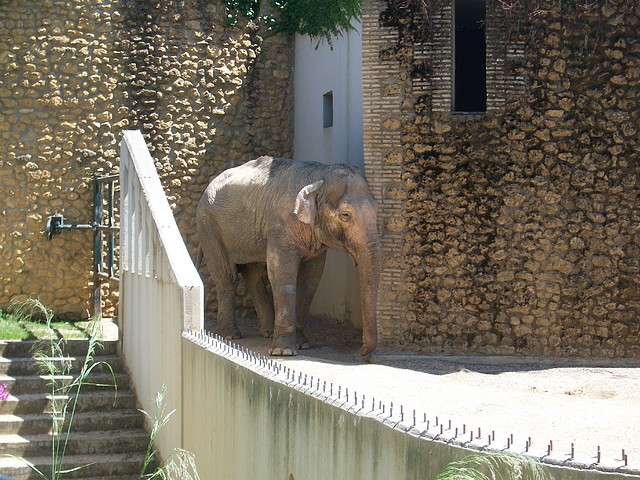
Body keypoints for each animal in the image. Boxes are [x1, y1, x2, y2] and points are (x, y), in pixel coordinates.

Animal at [196, 158, 380, 356]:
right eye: (345, 215)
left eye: (377, 210)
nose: (361, 351)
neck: (319, 175)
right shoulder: (281, 226)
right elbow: (282, 275)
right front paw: (283, 351)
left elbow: (310, 279)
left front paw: (301, 344)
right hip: (208, 226)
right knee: (227, 276)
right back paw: (230, 335)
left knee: (254, 277)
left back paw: (267, 332)